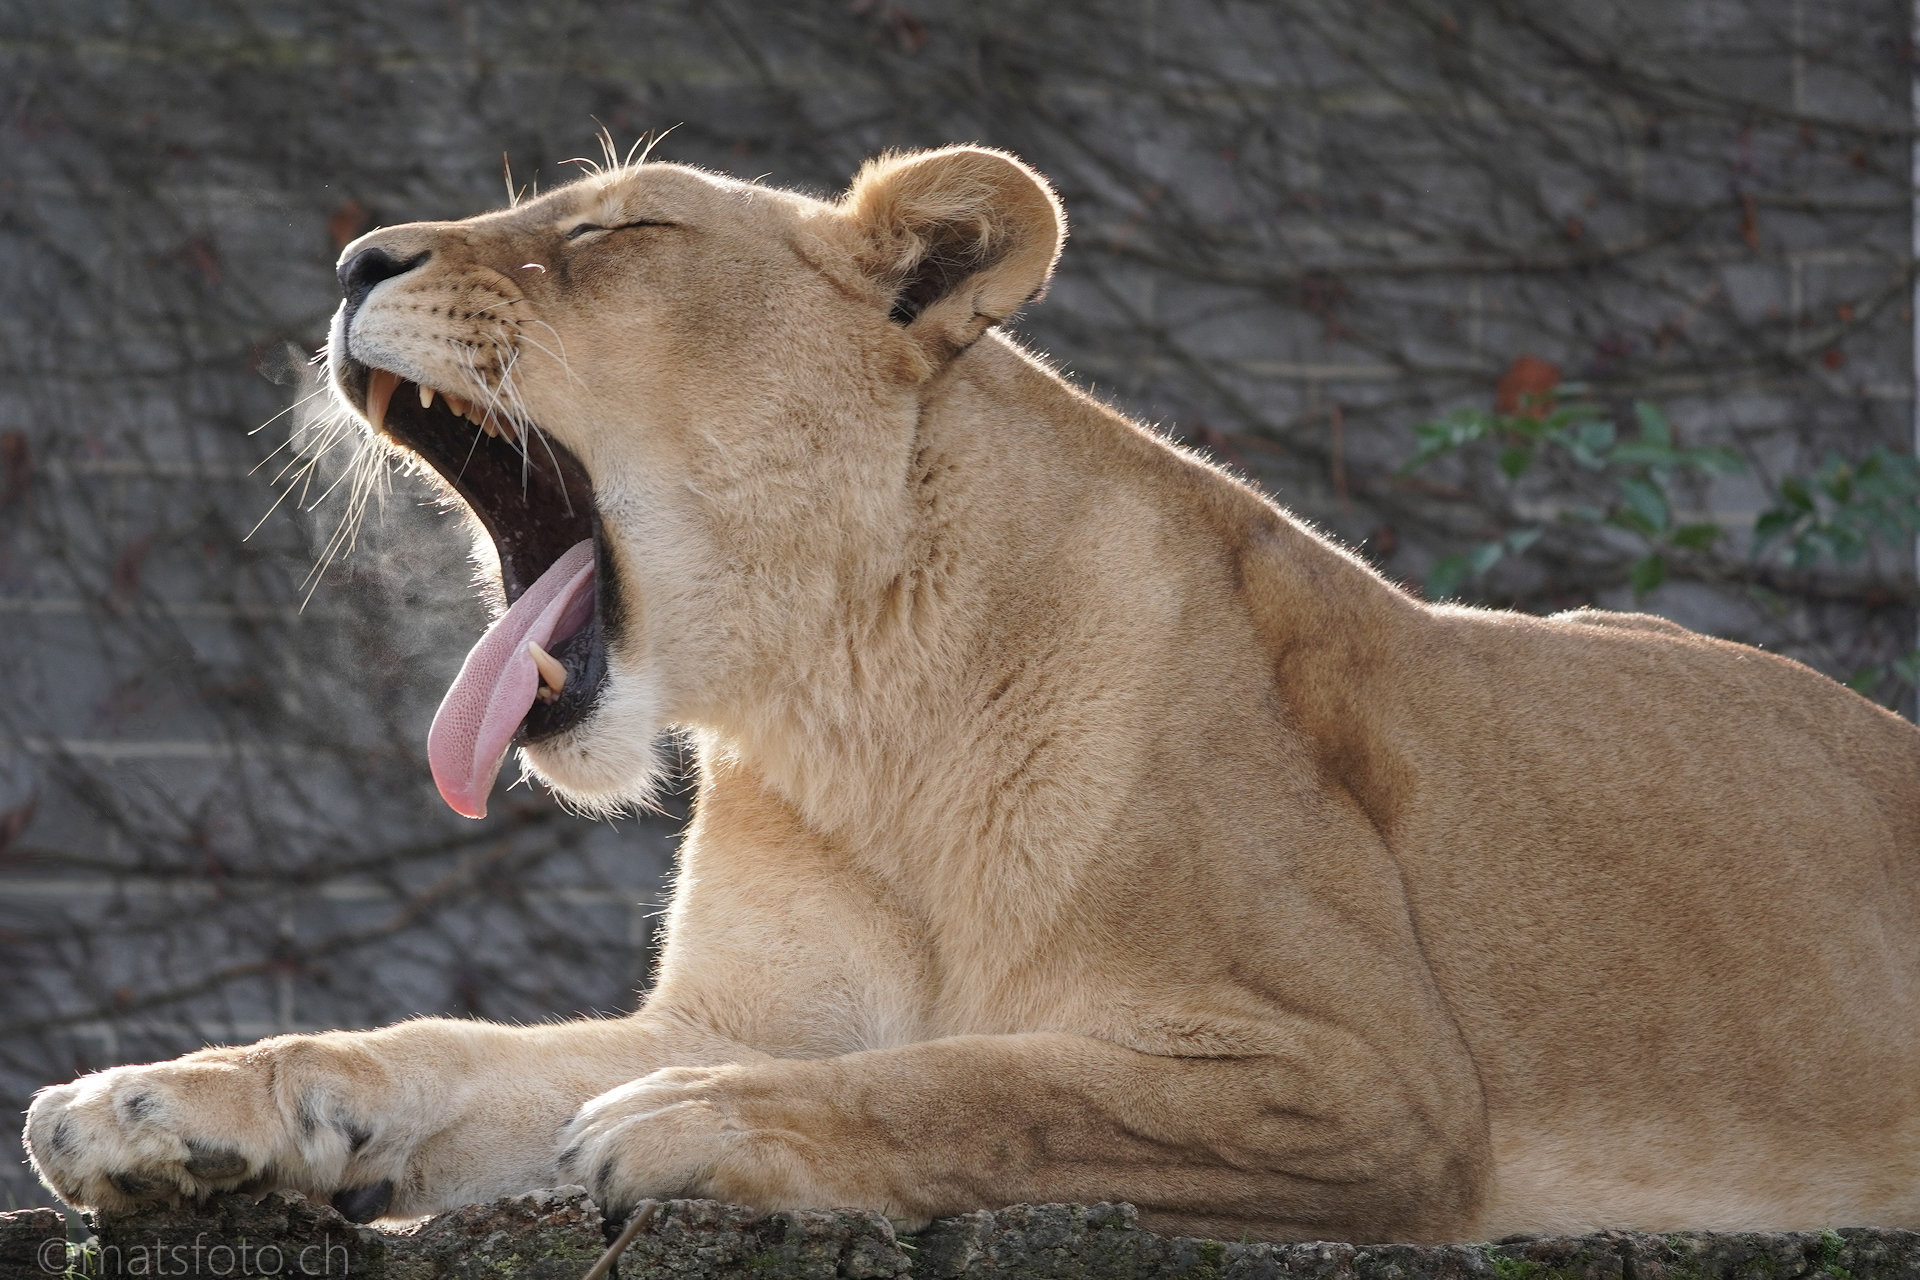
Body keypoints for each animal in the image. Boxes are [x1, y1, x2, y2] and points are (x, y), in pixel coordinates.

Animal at [24, 145, 1920, 1246]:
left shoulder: (1377, 1080)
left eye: (616, 227)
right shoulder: (736, 1004)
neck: (854, 708)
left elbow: (995, 1080)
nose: (355, 263)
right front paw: (166, 1105)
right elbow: (442, 1054)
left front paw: (702, 1129)